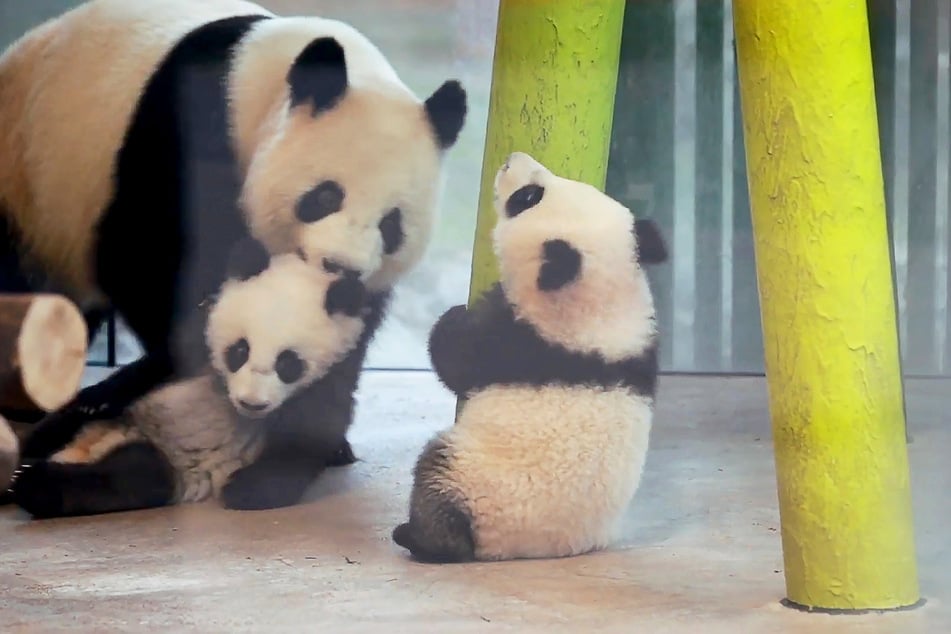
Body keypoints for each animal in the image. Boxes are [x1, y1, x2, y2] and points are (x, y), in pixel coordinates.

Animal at [9, 235, 370, 516]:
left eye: (288, 364)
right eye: (240, 350)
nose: (251, 403)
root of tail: (89, 447)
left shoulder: (332, 376)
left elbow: (308, 436)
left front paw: (246, 490)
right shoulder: (199, 338)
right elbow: (151, 368)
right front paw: (97, 399)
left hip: (160, 465)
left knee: (126, 478)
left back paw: (27, 482)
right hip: (95, 423)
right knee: (55, 428)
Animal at [394, 151, 668, 560]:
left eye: (527, 197)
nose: (513, 159)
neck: (603, 308)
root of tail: (533, 548)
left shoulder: (517, 341)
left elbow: (455, 358)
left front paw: (453, 315)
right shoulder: (643, 343)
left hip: (476, 481)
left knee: (435, 476)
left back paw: (420, 538)